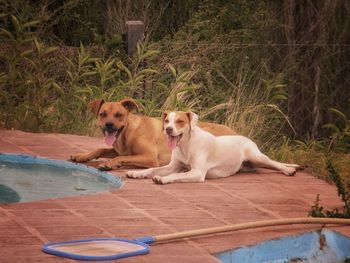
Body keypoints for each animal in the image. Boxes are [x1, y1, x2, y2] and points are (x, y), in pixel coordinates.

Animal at [70, 99, 235, 171]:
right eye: (103, 114)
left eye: (119, 115)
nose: (109, 125)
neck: (128, 132)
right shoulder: (119, 150)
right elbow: (101, 149)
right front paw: (81, 156)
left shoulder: (149, 157)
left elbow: (122, 158)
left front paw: (111, 163)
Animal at [127, 112, 300, 185]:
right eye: (167, 121)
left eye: (180, 121)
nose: (168, 129)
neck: (186, 145)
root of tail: (245, 137)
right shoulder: (173, 166)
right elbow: (151, 169)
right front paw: (136, 173)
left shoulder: (197, 173)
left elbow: (176, 175)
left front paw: (163, 179)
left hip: (256, 156)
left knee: (274, 163)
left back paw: (288, 170)